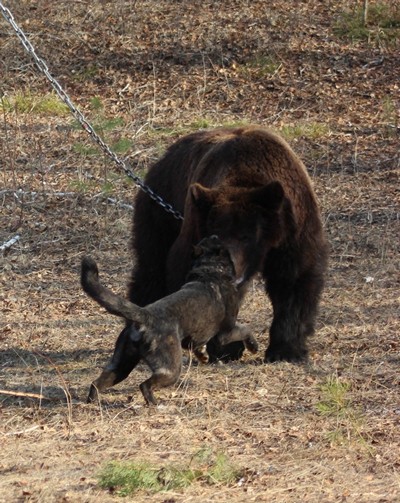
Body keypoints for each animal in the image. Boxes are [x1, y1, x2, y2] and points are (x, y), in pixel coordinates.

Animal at [81, 236, 258, 406]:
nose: (215, 234)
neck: (210, 270)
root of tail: (145, 315)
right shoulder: (225, 333)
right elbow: (245, 329)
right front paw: (253, 346)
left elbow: (199, 346)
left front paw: (203, 356)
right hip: (170, 369)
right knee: (145, 385)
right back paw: (156, 404)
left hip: (121, 365)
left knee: (97, 383)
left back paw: (93, 403)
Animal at [128, 125, 328, 362]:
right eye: (216, 235)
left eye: (246, 236)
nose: (231, 269)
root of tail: (162, 159)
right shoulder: (196, 227)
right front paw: (225, 347)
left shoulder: (293, 228)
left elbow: (294, 277)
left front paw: (287, 350)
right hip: (161, 207)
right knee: (152, 264)